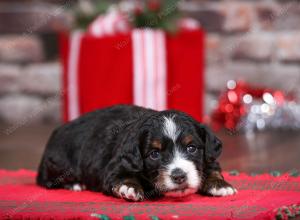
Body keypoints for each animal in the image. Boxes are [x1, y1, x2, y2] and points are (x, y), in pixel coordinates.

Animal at [36, 105, 237, 201]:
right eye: (154, 154)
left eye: (191, 148)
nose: (179, 176)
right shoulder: (115, 166)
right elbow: (122, 177)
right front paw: (129, 187)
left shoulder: (209, 156)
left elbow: (213, 168)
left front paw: (220, 185)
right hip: (58, 163)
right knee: (47, 181)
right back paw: (75, 184)